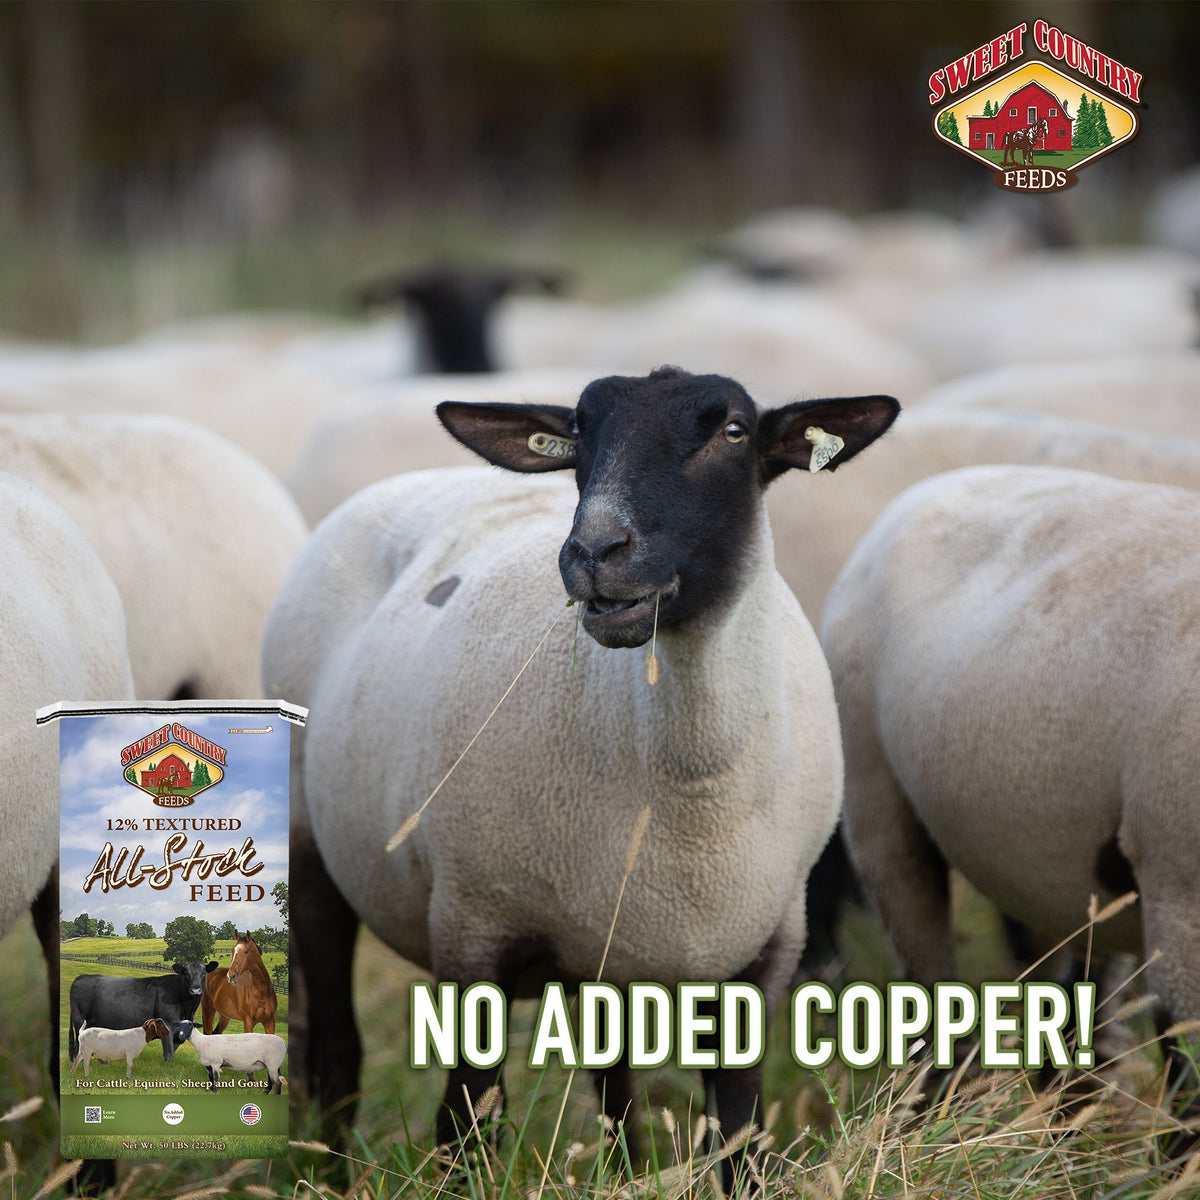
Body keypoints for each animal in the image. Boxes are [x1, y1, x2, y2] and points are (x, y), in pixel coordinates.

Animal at [263, 366, 898, 1179]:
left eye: (733, 430)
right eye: (578, 433)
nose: (595, 551)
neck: (691, 793)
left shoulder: (765, 950)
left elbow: (738, 1130)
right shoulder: (472, 927)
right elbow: (464, 1124)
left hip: (607, 948)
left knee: (614, 1086)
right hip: (314, 848)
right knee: (338, 1051)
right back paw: (331, 1175)